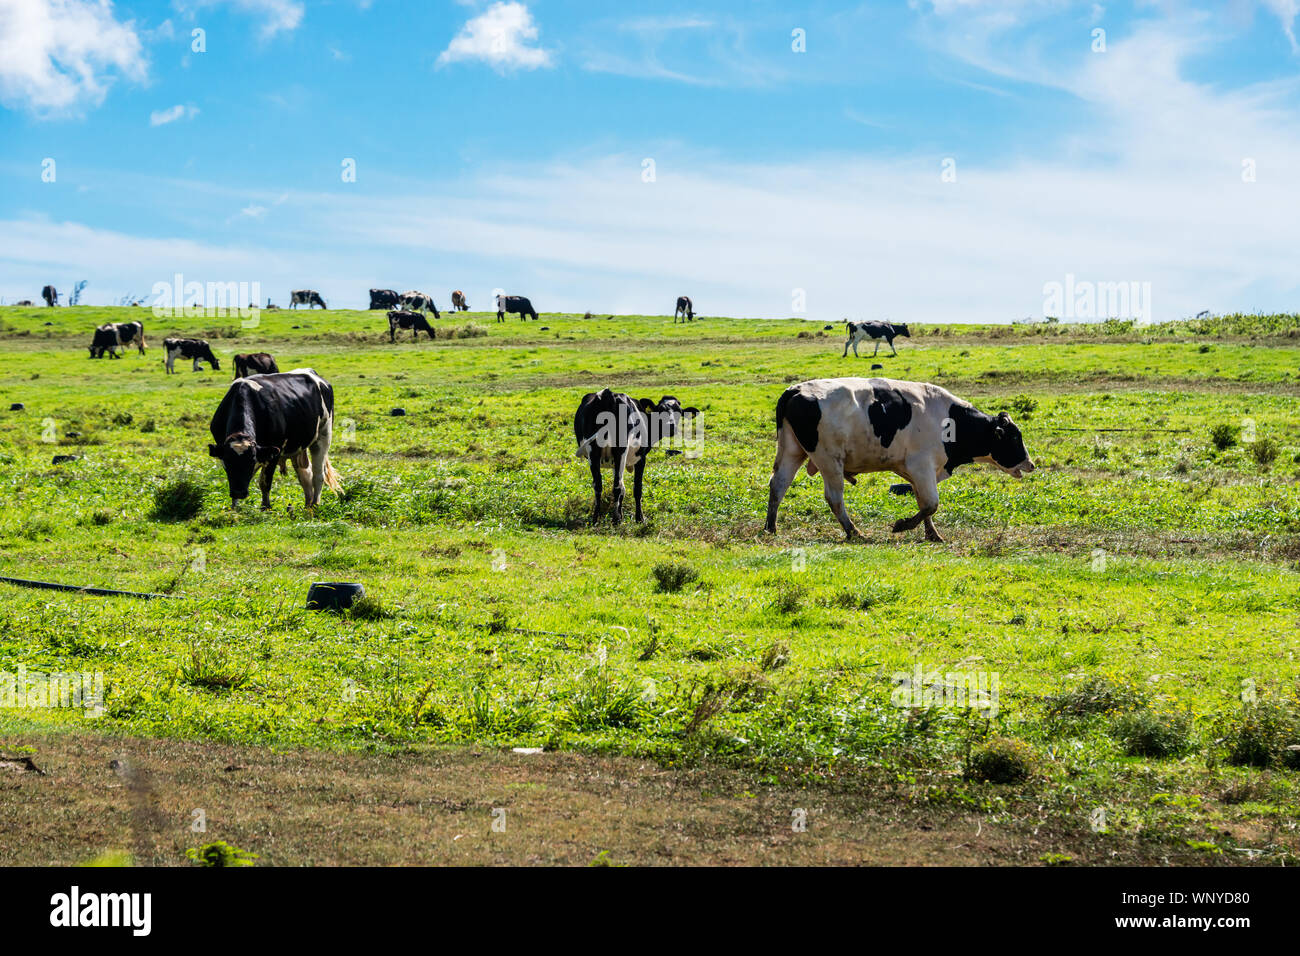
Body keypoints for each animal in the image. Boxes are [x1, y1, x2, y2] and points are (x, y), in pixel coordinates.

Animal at [208, 369, 343, 515]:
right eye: (228, 462)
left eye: (252, 461)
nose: (239, 493)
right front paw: (234, 510)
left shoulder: (274, 452)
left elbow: (264, 482)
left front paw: (265, 508)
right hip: (298, 447)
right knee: (305, 475)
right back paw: (307, 506)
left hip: (324, 436)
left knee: (318, 475)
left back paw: (314, 506)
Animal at [572, 387, 696, 528]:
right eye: (661, 410)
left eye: (679, 412)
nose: (671, 426)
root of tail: (608, 395)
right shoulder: (641, 458)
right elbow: (637, 488)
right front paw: (639, 518)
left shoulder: (614, 462)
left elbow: (623, 489)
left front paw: (621, 515)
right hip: (620, 450)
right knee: (616, 486)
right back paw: (615, 521)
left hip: (594, 452)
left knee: (599, 485)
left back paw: (595, 520)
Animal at [759, 377, 1034, 541]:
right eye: (1013, 438)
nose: (1031, 464)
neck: (949, 419)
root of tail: (795, 390)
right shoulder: (922, 466)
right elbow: (931, 503)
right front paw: (902, 525)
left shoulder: (916, 472)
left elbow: (924, 503)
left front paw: (932, 534)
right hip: (829, 459)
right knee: (834, 497)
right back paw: (853, 531)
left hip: (792, 450)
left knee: (778, 485)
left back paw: (771, 527)